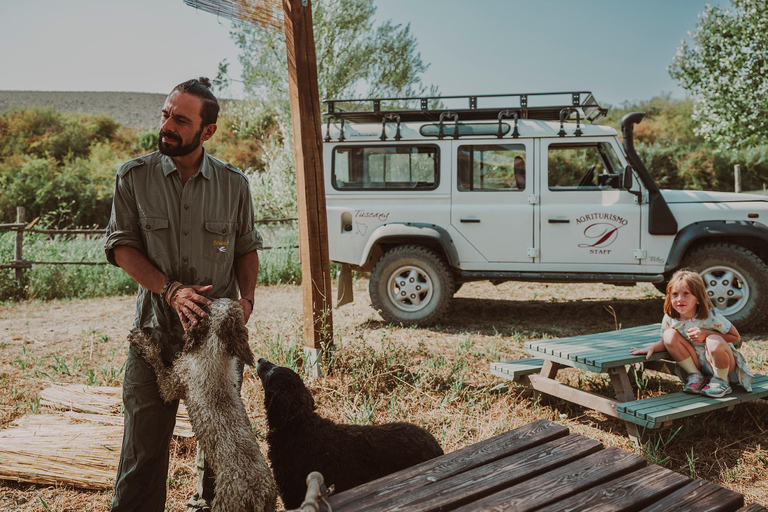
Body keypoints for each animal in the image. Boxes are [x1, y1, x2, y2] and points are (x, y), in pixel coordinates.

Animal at [129, 298, 280, 512]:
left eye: (211, 304)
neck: (215, 346)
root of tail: (258, 495)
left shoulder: (172, 384)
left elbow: (156, 360)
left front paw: (141, 339)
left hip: (225, 504)